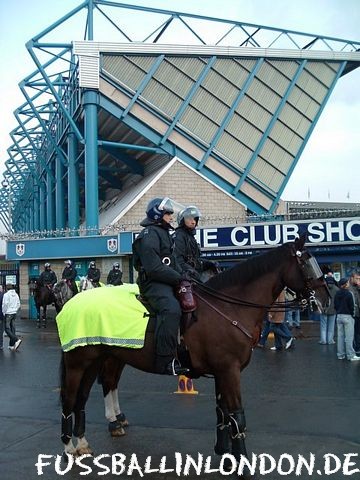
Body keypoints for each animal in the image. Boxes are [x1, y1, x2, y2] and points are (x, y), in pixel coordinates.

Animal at [57, 235, 328, 472]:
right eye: (307, 263)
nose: (326, 300)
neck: (229, 307)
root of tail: (72, 304)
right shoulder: (229, 371)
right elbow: (237, 416)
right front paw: (242, 463)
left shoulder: (222, 372)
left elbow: (223, 412)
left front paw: (225, 454)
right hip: (79, 363)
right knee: (71, 399)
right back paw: (69, 446)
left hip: (97, 360)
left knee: (85, 397)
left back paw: (85, 441)